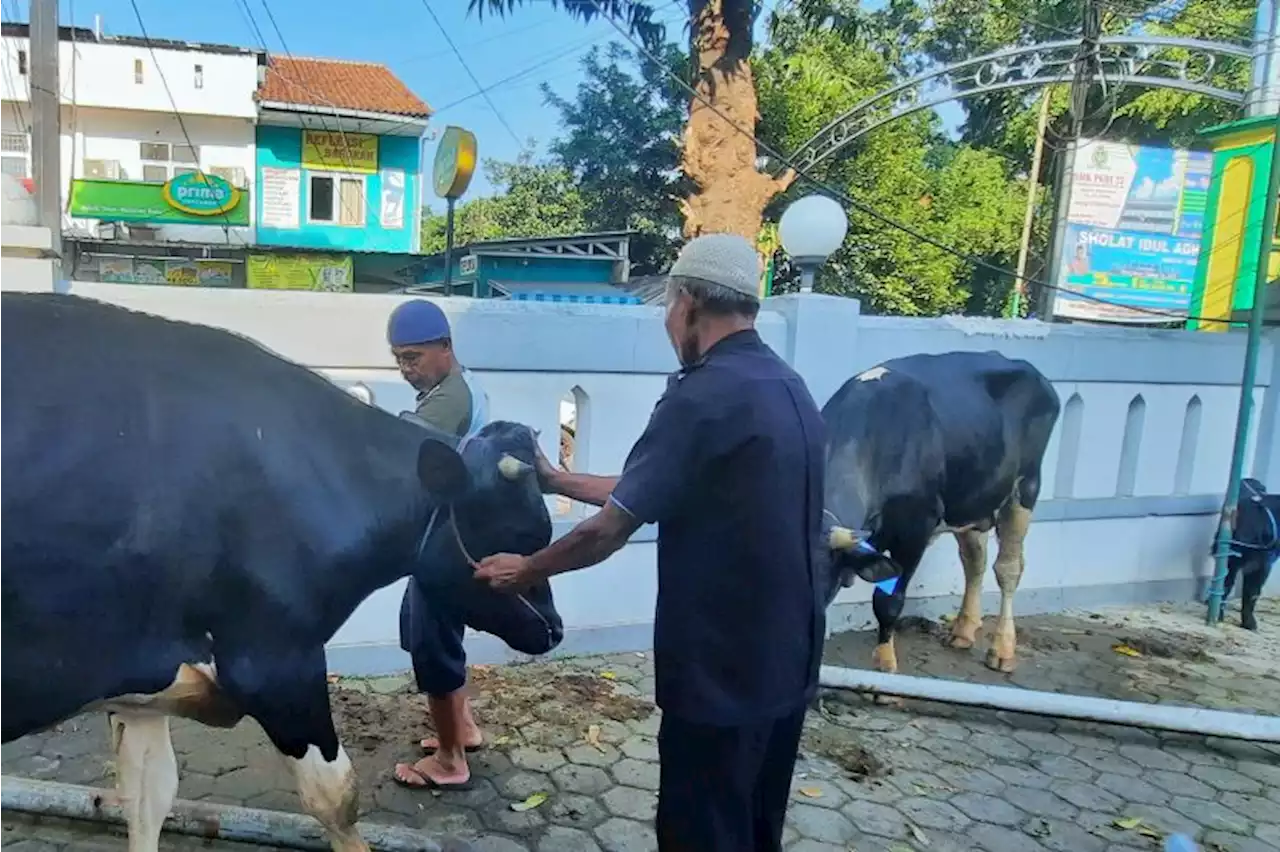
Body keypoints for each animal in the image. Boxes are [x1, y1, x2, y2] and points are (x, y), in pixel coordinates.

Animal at [0, 289, 552, 844]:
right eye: (523, 535)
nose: (554, 629)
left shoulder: (141, 684)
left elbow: (148, 798)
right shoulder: (277, 662)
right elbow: (337, 798)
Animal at [819, 347, 1059, 675]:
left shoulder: (916, 530)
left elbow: (888, 602)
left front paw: (885, 668)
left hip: (1025, 487)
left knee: (1008, 569)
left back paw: (1002, 649)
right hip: (970, 503)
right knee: (974, 562)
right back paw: (963, 631)